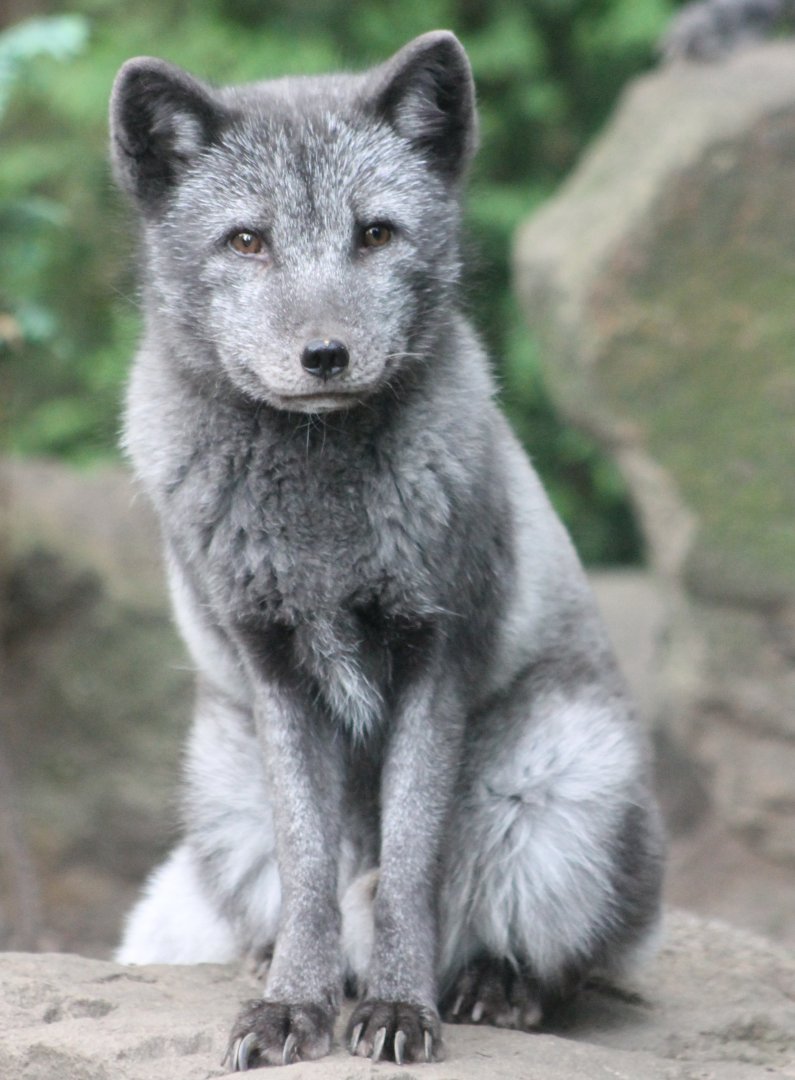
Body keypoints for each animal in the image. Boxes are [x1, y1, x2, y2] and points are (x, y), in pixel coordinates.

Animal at [110, 30, 664, 1071]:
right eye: (247, 241)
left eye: (375, 234)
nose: (325, 355)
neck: (321, 516)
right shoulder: (275, 665)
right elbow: (311, 870)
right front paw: (292, 1004)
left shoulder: (433, 652)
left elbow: (408, 871)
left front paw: (402, 1009)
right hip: (221, 787)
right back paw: (291, 966)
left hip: (561, 789)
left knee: (568, 954)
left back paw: (493, 986)